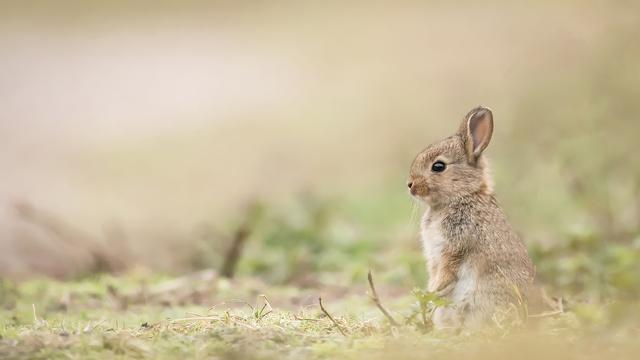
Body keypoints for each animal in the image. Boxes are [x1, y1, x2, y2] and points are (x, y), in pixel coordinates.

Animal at [408, 105, 536, 328]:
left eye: (438, 166)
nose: (410, 185)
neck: (462, 196)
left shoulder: (455, 246)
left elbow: (446, 272)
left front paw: (430, 293)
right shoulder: (435, 256)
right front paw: (428, 294)